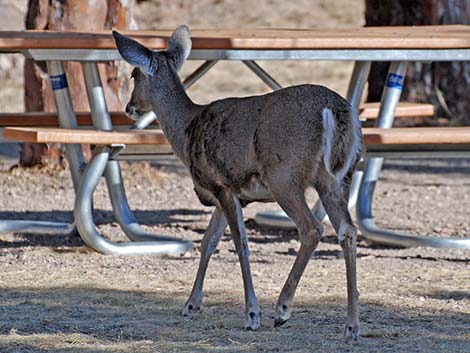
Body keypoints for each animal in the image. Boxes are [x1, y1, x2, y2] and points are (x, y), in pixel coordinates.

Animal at [114, 25, 364, 340]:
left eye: (134, 74)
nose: (129, 107)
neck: (186, 131)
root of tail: (334, 110)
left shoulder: (222, 185)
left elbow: (239, 244)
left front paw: (251, 314)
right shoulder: (231, 194)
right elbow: (208, 241)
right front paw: (190, 305)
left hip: (284, 175)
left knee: (312, 228)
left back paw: (282, 310)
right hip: (337, 178)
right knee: (348, 230)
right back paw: (351, 326)